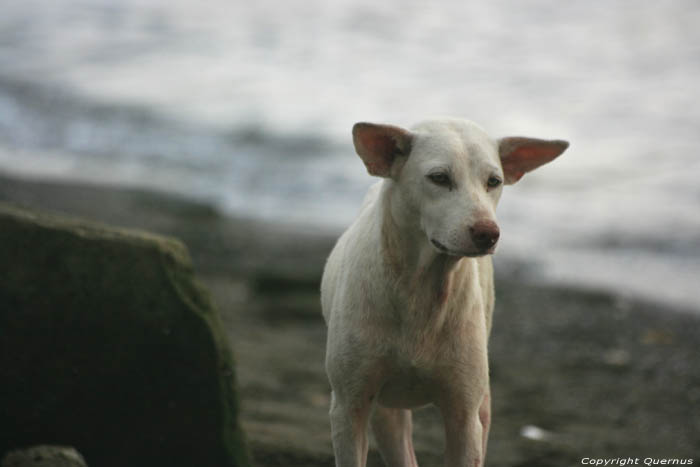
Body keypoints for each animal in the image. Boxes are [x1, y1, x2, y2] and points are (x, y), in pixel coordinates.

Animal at [320, 119, 568, 467]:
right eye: (439, 178)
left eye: (494, 181)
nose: (488, 233)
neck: (421, 288)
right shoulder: (348, 405)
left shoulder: (463, 413)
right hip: (384, 407)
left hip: (481, 396)